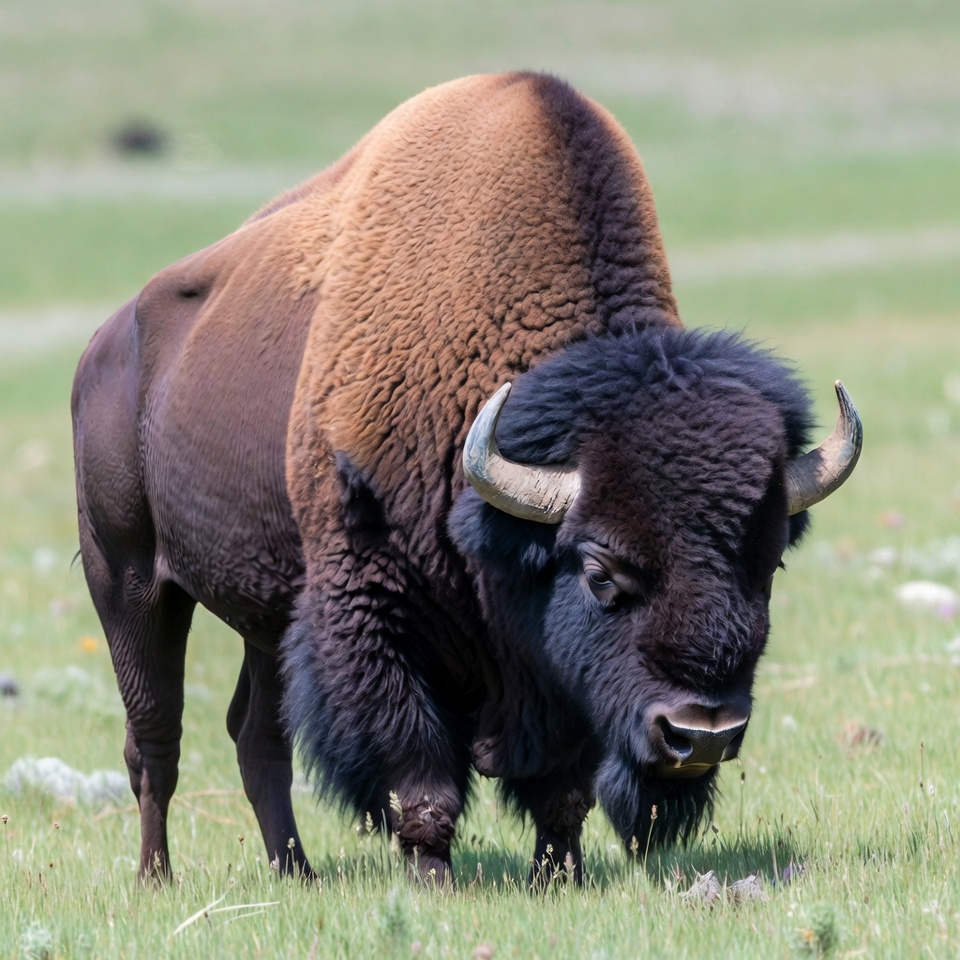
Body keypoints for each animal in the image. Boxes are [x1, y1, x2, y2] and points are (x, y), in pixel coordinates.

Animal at [71, 72, 861, 885]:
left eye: (768, 565)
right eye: (600, 572)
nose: (700, 734)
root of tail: (105, 345)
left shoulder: (556, 676)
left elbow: (564, 789)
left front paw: (560, 875)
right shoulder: (374, 611)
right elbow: (420, 774)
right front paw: (433, 879)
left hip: (264, 617)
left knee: (256, 736)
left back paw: (296, 872)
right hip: (129, 582)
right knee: (154, 738)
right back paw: (156, 876)